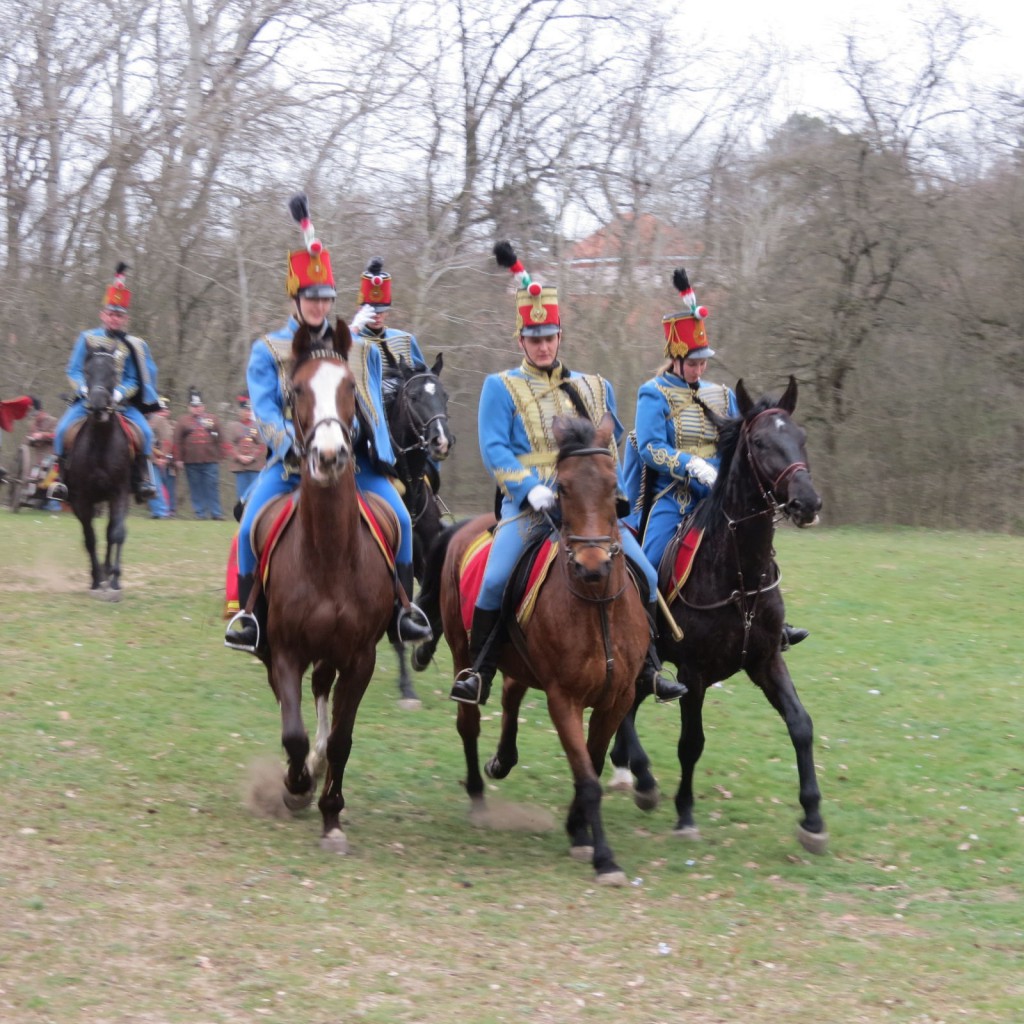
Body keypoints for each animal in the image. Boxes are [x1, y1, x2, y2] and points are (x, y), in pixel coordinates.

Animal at [65, 346, 136, 598]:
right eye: (87, 371)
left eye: (114, 373)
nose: (96, 406)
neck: (101, 443)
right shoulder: (81, 499)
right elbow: (90, 538)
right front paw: (97, 579)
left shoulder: (120, 493)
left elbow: (116, 533)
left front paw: (114, 580)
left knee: (111, 532)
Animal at [253, 323, 397, 851]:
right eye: (296, 390)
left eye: (351, 388)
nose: (331, 455)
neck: (330, 557)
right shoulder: (285, 650)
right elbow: (292, 731)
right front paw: (296, 786)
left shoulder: (360, 658)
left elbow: (341, 738)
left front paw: (331, 814)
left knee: (322, 696)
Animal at [415, 411, 647, 884]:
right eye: (563, 488)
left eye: (612, 484)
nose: (592, 566)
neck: (597, 607)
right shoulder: (564, 699)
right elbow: (587, 777)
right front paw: (604, 857)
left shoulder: (617, 698)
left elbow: (592, 765)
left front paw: (578, 829)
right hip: (465, 654)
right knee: (469, 722)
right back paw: (478, 794)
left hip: (518, 660)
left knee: (510, 694)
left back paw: (502, 760)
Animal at [606, 376, 831, 856]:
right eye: (761, 442)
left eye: (801, 437)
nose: (807, 502)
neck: (737, 572)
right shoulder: (693, 673)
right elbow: (691, 743)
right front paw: (686, 814)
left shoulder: (766, 659)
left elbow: (801, 725)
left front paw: (813, 818)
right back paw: (643, 776)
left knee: (630, 700)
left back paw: (628, 767)